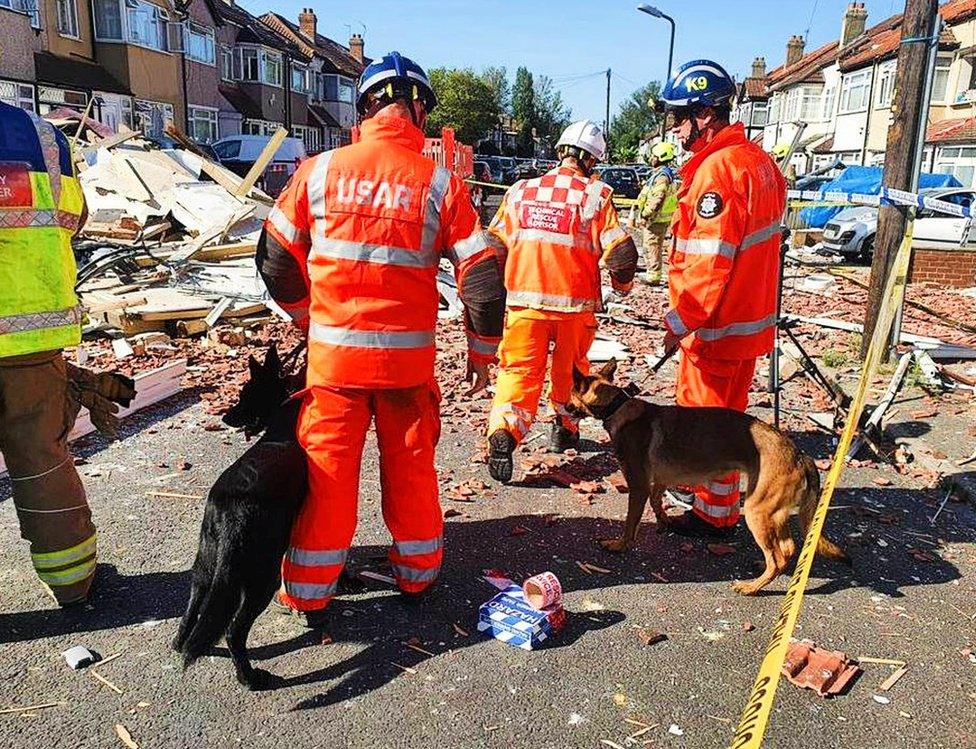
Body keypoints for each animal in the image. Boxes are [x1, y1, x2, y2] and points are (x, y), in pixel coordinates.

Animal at [174, 344, 304, 688]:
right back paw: (250, 678)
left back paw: (181, 643)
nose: (224, 417)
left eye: (245, 394)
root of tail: (226, 510)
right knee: (234, 631)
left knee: (191, 613)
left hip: (206, 565)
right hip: (261, 579)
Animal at [568, 360, 852, 592]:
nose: (561, 406)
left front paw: (621, 545)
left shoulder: (638, 486)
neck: (616, 406)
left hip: (757, 510)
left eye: (570, 393)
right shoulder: (659, 481)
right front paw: (663, 521)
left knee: (778, 557)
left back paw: (752, 587)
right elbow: (657, 501)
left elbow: (630, 522)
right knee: (787, 548)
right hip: (773, 513)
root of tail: (800, 454)